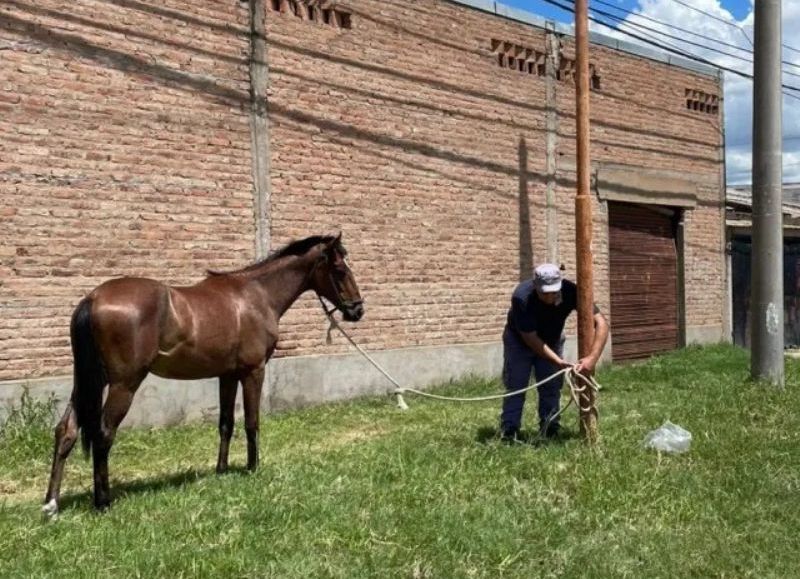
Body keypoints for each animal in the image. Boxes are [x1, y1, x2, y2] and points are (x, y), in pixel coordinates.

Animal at [42, 233, 363, 516]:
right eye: (339, 269)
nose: (357, 310)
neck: (256, 296)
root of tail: (93, 298)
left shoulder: (227, 375)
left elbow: (226, 423)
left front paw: (222, 470)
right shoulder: (253, 371)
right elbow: (252, 422)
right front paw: (253, 468)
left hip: (87, 384)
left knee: (66, 431)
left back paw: (51, 504)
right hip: (124, 384)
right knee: (104, 434)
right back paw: (103, 502)